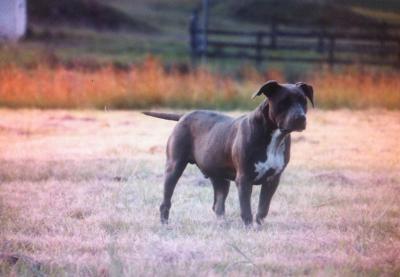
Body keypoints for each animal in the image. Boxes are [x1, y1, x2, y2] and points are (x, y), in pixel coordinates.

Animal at [142, 80, 314, 224]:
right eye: (283, 102)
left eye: (303, 102)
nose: (300, 118)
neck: (273, 136)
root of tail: (184, 116)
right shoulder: (244, 179)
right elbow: (246, 210)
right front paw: (249, 228)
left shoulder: (272, 180)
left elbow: (263, 208)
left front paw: (259, 227)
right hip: (174, 166)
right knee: (166, 199)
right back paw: (165, 224)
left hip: (219, 177)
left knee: (218, 204)